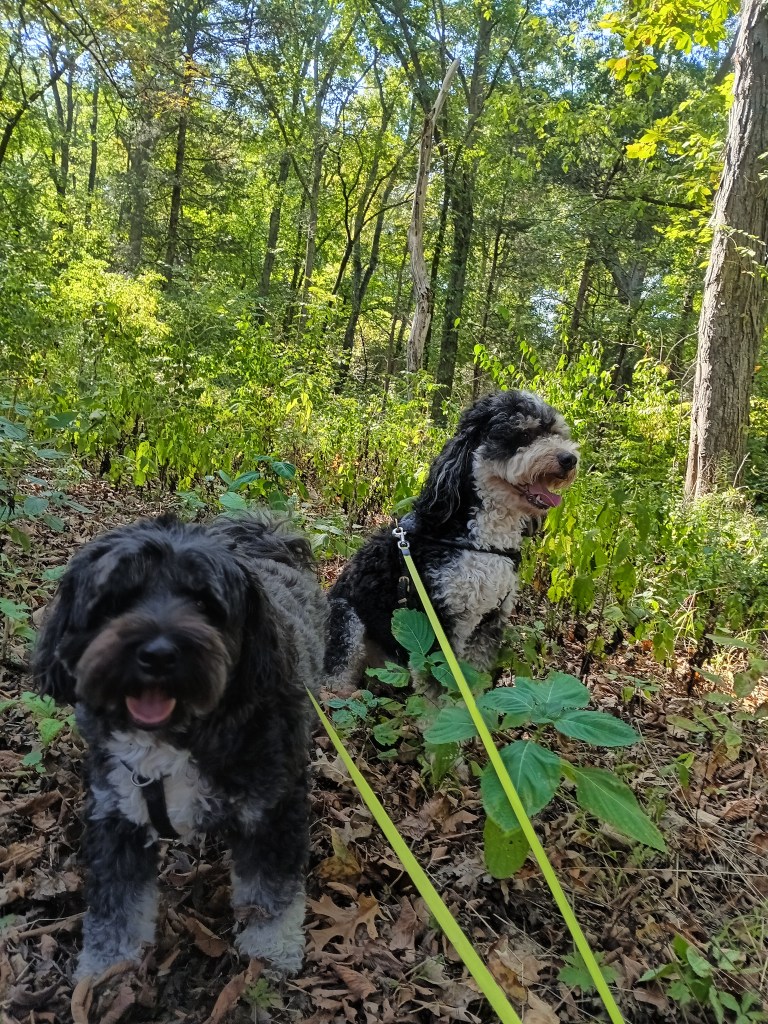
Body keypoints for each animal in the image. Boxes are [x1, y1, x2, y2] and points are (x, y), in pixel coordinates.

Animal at [32, 513, 327, 979]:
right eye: (117, 599)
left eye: (205, 603)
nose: (158, 654)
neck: (174, 738)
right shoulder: (117, 813)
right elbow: (117, 903)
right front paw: (105, 968)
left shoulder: (274, 810)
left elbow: (271, 889)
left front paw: (271, 948)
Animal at [325, 390, 578, 688]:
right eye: (524, 434)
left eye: (556, 433)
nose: (569, 459)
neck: (482, 542)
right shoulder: (438, 620)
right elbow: (439, 688)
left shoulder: (490, 621)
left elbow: (476, 679)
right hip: (344, 619)